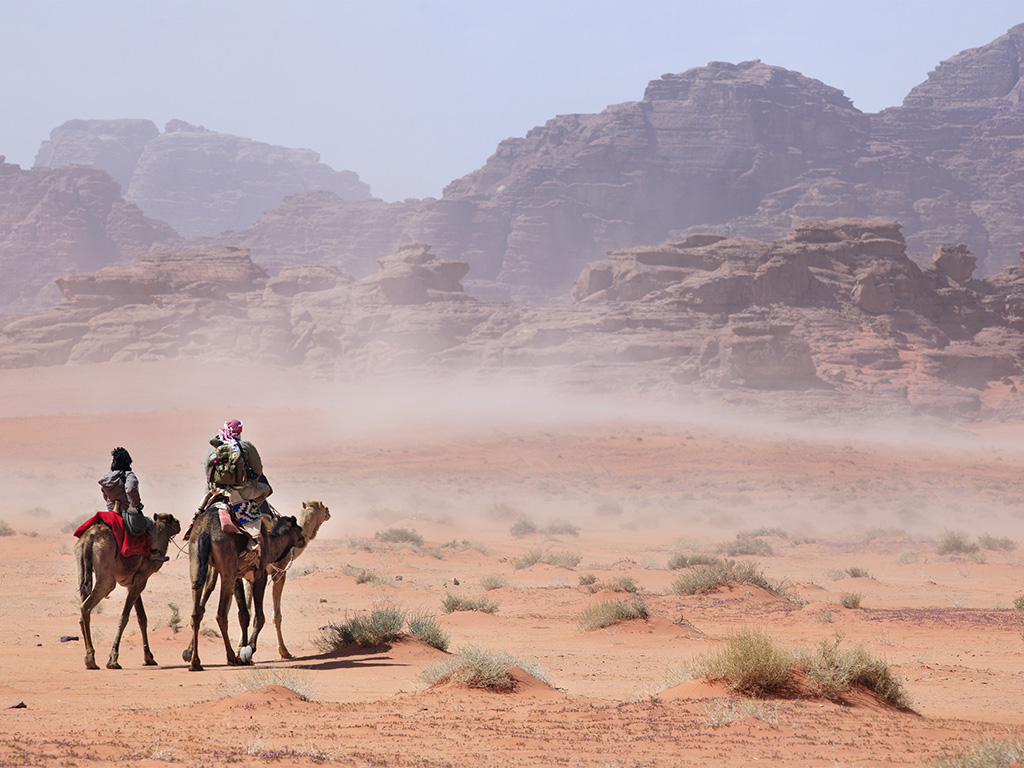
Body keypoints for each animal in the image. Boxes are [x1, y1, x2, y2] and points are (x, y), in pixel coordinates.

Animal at [75, 514, 182, 671]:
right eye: (172, 519)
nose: (179, 524)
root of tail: (90, 537)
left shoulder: (133, 583)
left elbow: (142, 618)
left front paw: (149, 658)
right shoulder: (141, 581)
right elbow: (124, 618)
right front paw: (113, 660)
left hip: (81, 567)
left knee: (83, 606)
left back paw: (89, 658)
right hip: (106, 570)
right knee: (86, 606)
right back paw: (91, 658)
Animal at [183, 501, 303, 671]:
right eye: (298, 528)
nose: (303, 538)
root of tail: (205, 530)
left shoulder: (238, 575)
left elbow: (244, 615)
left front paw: (245, 653)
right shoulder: (259, 574)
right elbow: (259, 616)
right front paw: (248, 651)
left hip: (196, 561)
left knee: (196, 612)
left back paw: (195, 662)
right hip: (226, 569)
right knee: (221, 614)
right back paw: (231, 657)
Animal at [237, 501, 333, 659]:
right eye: (322, 507)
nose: (329, 512)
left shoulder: (249, 577)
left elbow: (248, 611)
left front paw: (241, 649)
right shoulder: (279, 573)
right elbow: (277, 616)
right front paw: (284, 651)